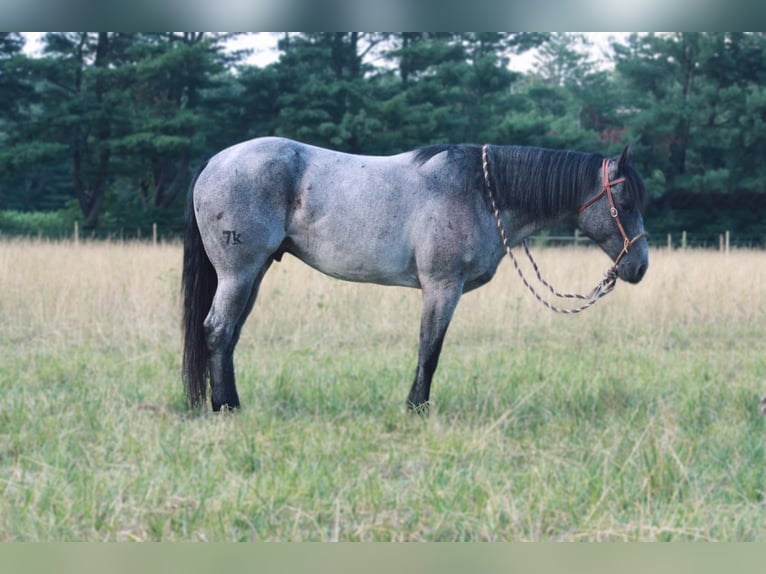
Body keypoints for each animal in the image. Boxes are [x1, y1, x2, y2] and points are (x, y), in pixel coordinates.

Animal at [183, 137, 652, 412]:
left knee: (230, 336)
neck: (479, 191)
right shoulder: (442, 287)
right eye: (626, 202)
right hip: (238, 273)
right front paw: (417, 408)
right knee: (218, 331)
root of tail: (215, 161)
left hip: (255, 272)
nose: (640, 266)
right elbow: (430, 348)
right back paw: (225, 407)